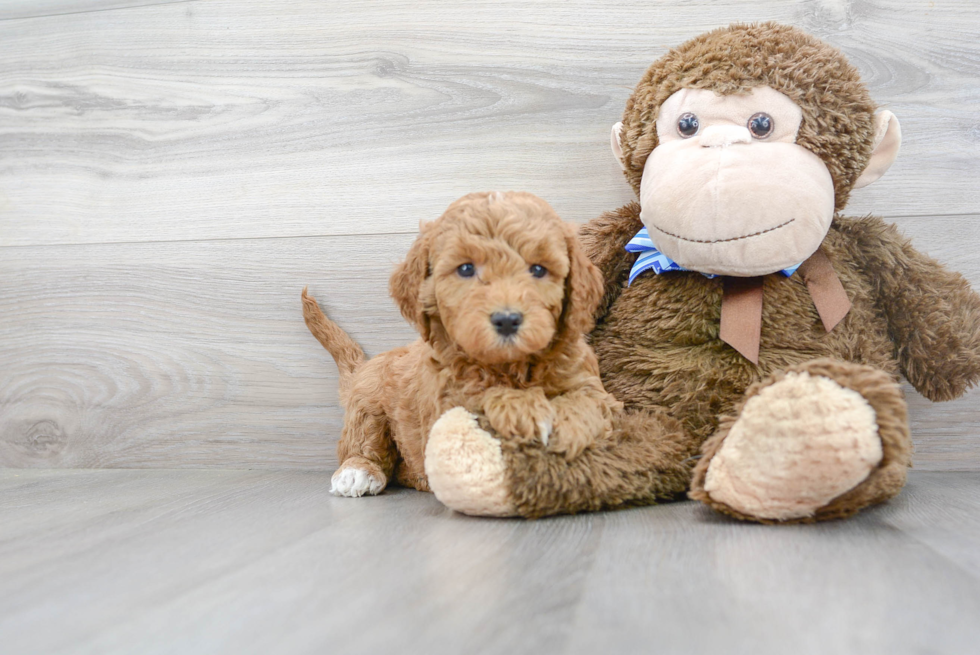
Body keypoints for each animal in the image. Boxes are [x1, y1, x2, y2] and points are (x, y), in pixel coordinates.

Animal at [300, 192, 620, 500]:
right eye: (466, 269)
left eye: (539, 270)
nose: (507, 320)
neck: (511, 366)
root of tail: (364, 366)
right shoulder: (449, 396)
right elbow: (483, 395)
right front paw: (525, 411)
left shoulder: (590, 383)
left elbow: (590, 402)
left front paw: (568, 427)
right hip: (367, 407)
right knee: (362, 446)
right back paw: (358, 472)